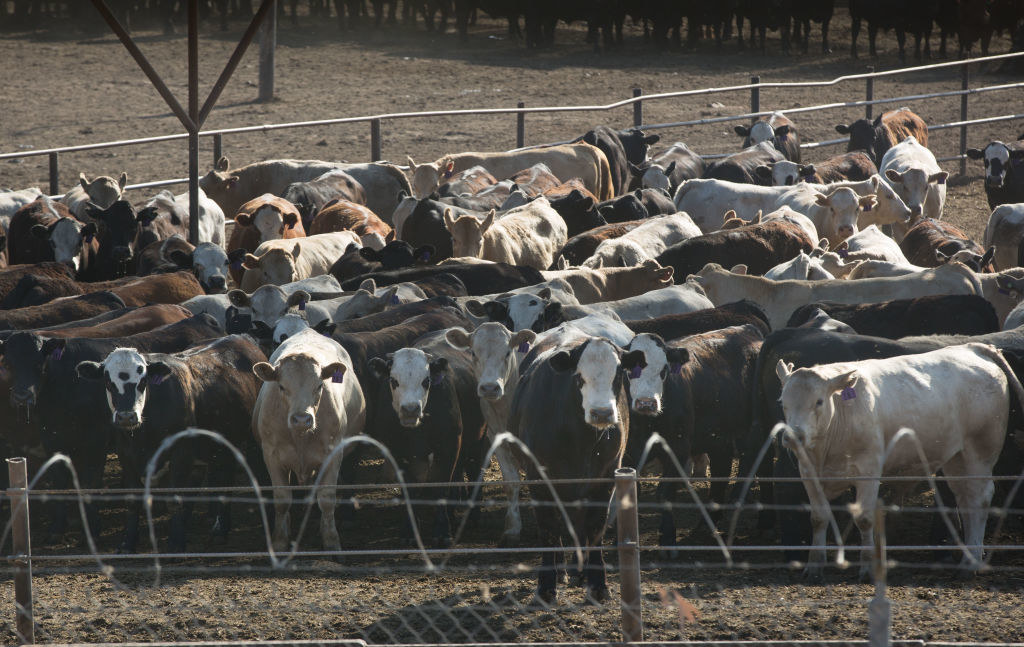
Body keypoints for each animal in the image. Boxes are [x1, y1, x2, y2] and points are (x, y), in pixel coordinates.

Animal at [77, 333, 266, 552]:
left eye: (143, 381)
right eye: (108, 382)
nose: (126, 417)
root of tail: (240, 337)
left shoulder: (181, 452)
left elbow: (176, 497)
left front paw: (176, 542)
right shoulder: (126, 454)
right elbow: (133, 500)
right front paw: (127, 542)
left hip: (252, 441)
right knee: (225, 477)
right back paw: (220, 530)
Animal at [249, 327, 366, 552]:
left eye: (319, 385)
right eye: (281, 386)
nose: (302, 419)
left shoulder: (333, 454)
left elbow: (327, 499)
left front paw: (331, 541)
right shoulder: (271, 455)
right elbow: (282, 500)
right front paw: (279, 541)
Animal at [509, 335, 643, 606]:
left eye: (617, 374)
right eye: (579, 376)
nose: (602, 413)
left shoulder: (606, 476)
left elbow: (595, 525)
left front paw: (598, 584)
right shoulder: (539, 478)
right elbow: (548, 528)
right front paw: (546, 587)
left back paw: (578, 571)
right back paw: (562, 570)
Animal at [778, 343, 1019, 577]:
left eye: (818, 401)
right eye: (783, 402)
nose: (793, 436)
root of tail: (973, 347)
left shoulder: (869, 470)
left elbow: (864, 519)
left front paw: (868, 567)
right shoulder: (808, 473)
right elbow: (818, 518)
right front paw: (814, 565)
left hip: (981, 449)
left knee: (980, 497)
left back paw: (972, 562)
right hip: (956, 458)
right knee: (966, 498)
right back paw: (970, 555)